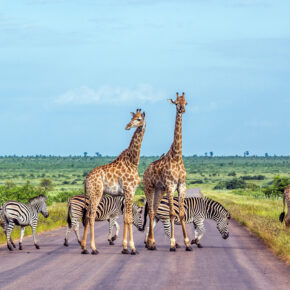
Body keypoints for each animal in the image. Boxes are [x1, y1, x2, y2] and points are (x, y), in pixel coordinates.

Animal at [80, 108, 145, 254]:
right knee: (91, 216)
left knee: (87, 215)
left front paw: (125, 248)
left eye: (139, 119)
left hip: (96, 194)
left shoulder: (128, 193)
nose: (127, 126)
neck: (133, 162)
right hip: (96, 193)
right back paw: (94, 248)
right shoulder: (129, 190)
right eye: (133, 118)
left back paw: (84, 247)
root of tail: (86, 180)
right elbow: (128, 218)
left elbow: (126, 218)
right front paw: (132, 248)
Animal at [143, 92, 193, 251]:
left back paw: (150, 243)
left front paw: (188, 243)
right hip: (149, 188)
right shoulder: (171, 186)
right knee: (151, 211)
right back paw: (151, 242)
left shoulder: (181, 186)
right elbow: (171, 213)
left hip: (160, 190)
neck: (177, 157)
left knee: (154, 210)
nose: (182, 109)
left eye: (185, 102)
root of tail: (145, 171)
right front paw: (172, 243)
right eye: (176, 102)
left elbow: (181, 213)